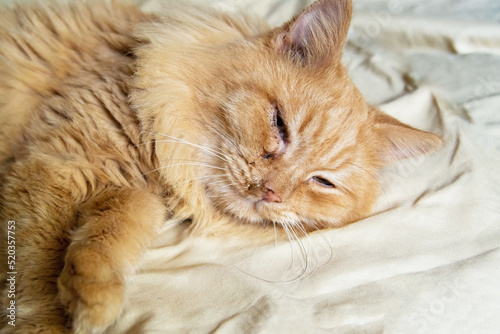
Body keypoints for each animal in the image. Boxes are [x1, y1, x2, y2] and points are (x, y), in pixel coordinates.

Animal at [0, 0, 440, 332]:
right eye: (279, 124)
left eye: (322, 182)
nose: (271, 192)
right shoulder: (56, 167)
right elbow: (34, 279)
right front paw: (52, 320)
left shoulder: (129, 192)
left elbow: (117, 231)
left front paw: (91, 296)